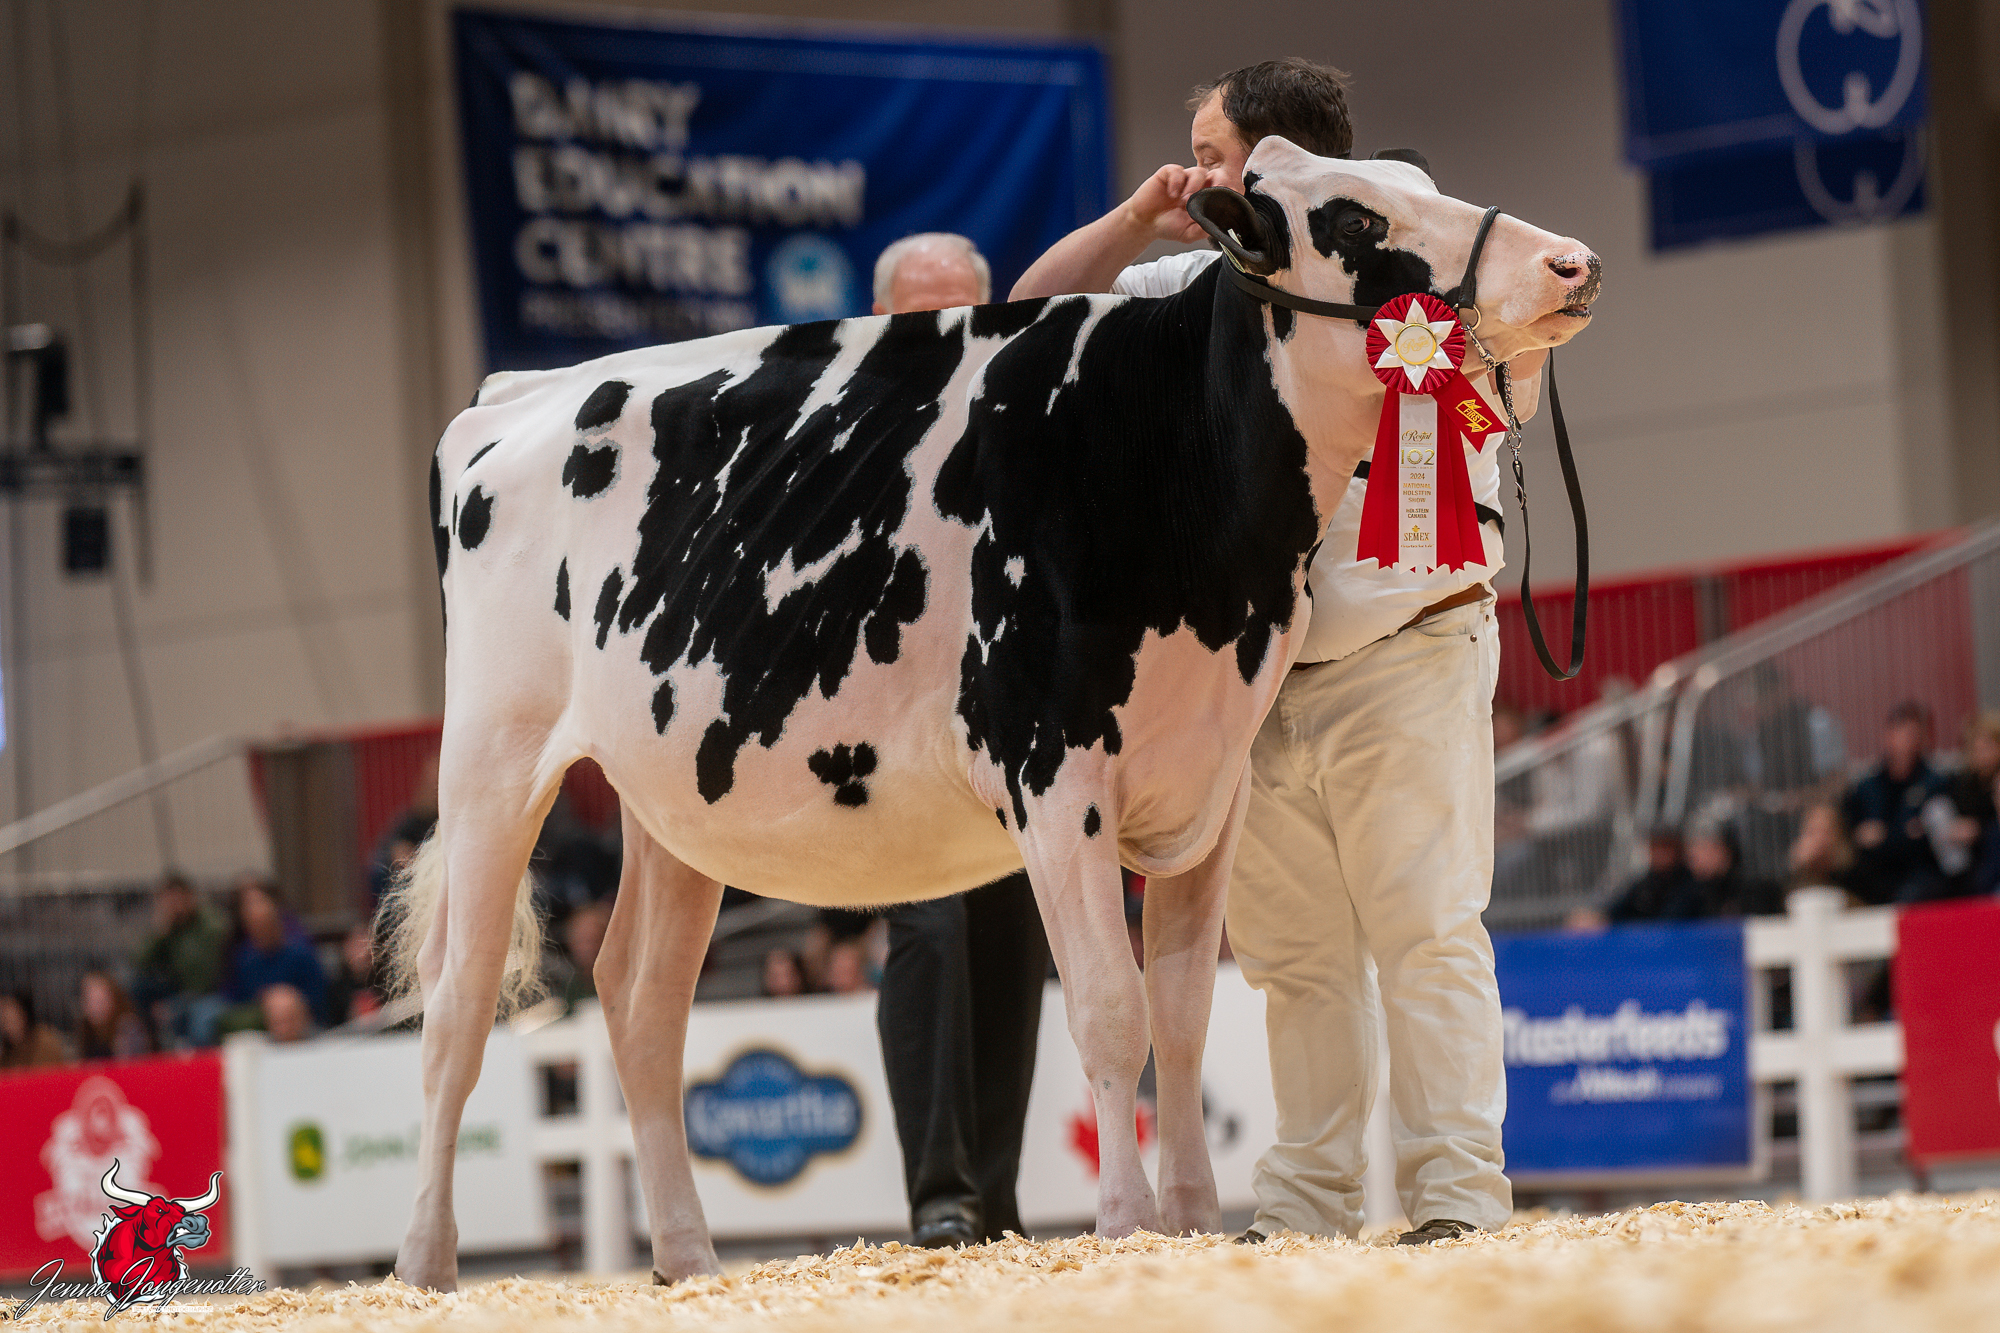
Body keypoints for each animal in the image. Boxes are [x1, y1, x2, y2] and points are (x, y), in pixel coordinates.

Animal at [385, 135, 1599, 1290]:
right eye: (1355, 219)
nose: (1569, 261)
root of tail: (516, 389)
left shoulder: (1214, 779)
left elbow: (1183, 1014)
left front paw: (1197, 1221)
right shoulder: (1054, 772)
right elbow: (1109, 1009)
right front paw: (1126, 1223)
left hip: (672, 795)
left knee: (639, 1007)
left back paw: (686, 1258)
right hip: (493, 755)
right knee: (454, 1009)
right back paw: (425, 1263)